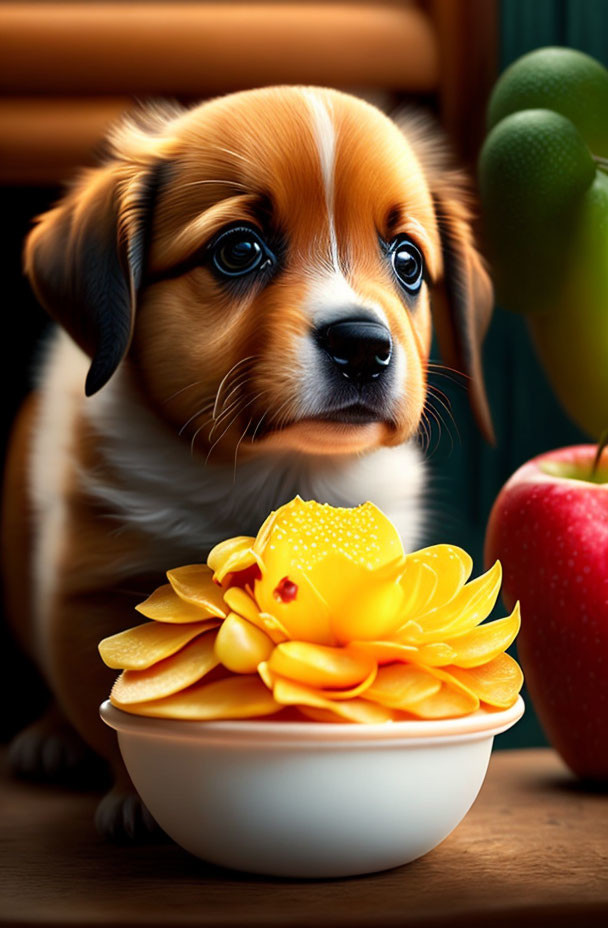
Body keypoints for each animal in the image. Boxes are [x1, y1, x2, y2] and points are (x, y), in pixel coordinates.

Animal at [1, 89, 494, 840]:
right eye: (239, 250)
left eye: (407, 261)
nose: (364, 344)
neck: (278, 470)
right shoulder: (86, 588)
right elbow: (111, 692)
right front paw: (138, 797)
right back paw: (48, 738)